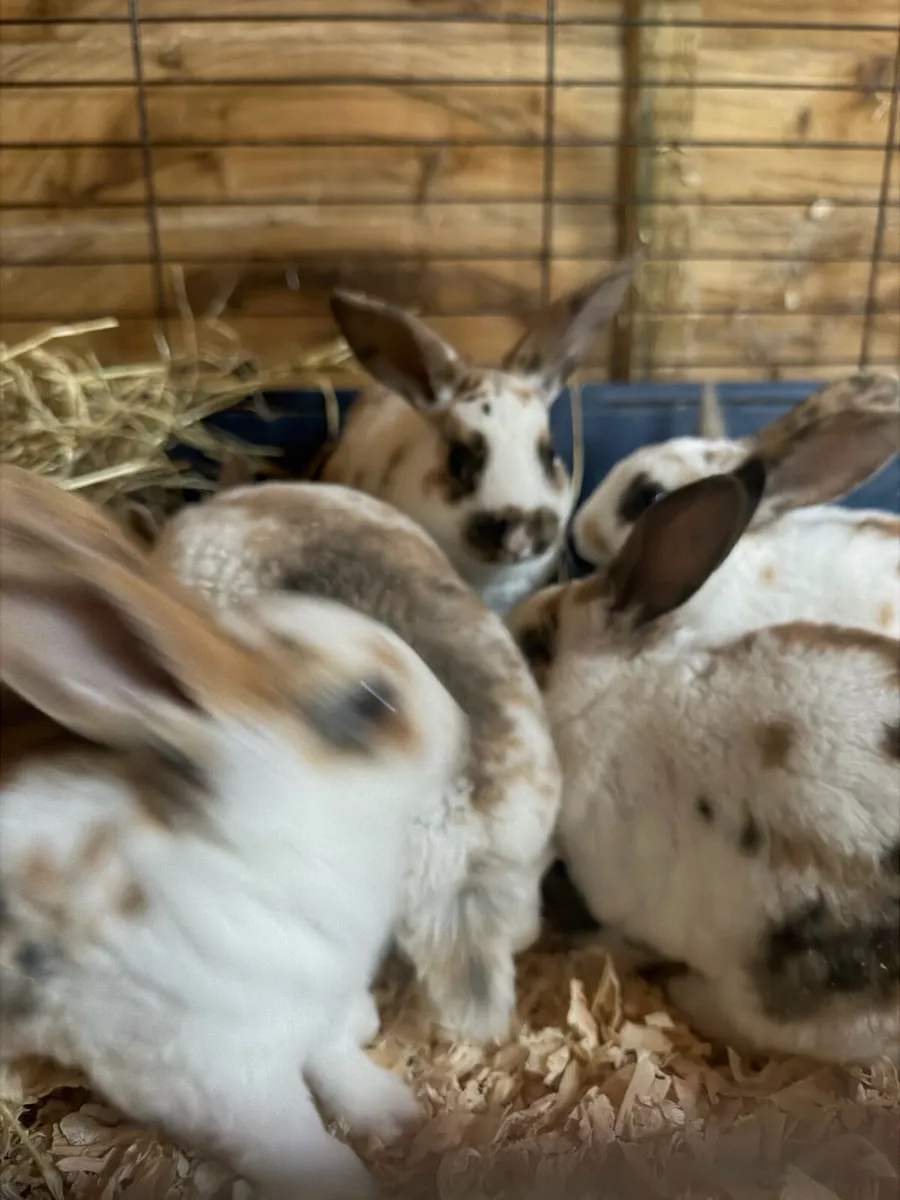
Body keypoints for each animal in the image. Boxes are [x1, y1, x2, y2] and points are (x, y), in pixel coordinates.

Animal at [0, 465, 468, 1200]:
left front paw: (394, 1112)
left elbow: (339, 1063)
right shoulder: (226, 1076)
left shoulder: (319, 1013)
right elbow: (302, 1144)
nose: (462, 723)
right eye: (372, 701)